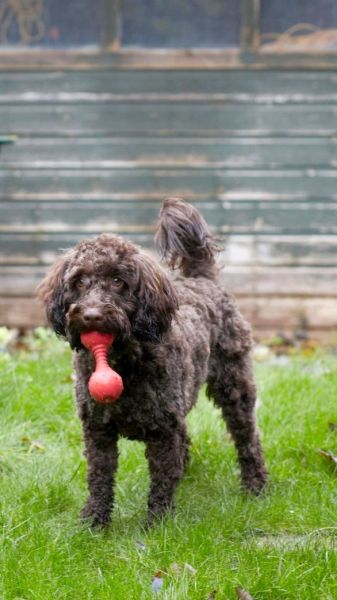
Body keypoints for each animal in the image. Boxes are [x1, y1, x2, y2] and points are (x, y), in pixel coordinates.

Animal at [38, 197, 266, 524]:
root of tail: (201, 278)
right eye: (79, 281)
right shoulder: (98, 430)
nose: (91, 315)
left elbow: (161, 478)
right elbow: (99, 477)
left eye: (118, 280)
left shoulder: (163, 431)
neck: (121, 360)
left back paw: (255, 486)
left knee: (247, 435)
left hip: (234, 383)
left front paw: (157, 524)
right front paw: (94, 522)